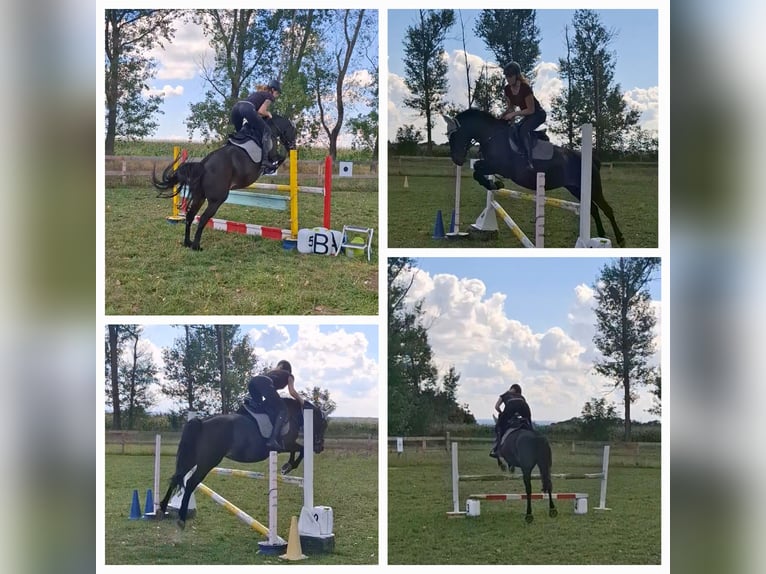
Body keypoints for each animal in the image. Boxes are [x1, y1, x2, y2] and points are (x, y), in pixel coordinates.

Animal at [152, 114, 297, 251]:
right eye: (294, 131)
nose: (293, 146)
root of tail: (203, 166)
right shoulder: (272, 155)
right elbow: (281, 157)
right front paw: (272, 167)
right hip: (217, 200)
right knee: (203, 218)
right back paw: (196, 246)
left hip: (200, 197)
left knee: (190, 216)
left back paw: (188, 243)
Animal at [158, 397, 327, 529]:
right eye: (323, 424)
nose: (320, 448)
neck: (293, 415)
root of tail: (202, 422)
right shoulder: (286, 444)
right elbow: (302, 450)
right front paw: (289, 466)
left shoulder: (286, 446)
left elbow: (299, 450)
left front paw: (287, 467)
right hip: (207, 462)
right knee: (191, 482)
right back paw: (181, 518)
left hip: (192, 459)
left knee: (176, 477)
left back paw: (162, 508)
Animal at [443, 109, 625, 248]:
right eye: (448, 136)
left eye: (455, 135)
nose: (457, 160)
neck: (493, 136)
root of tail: (590, 159)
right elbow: (477, 171)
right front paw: (494, 184)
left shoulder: (500, 166)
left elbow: (478, 170)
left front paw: (496, 184)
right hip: (576, 189)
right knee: (593, 209)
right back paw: (602, 235)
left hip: (593, 187)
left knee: (606, 209)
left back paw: (619, 239)